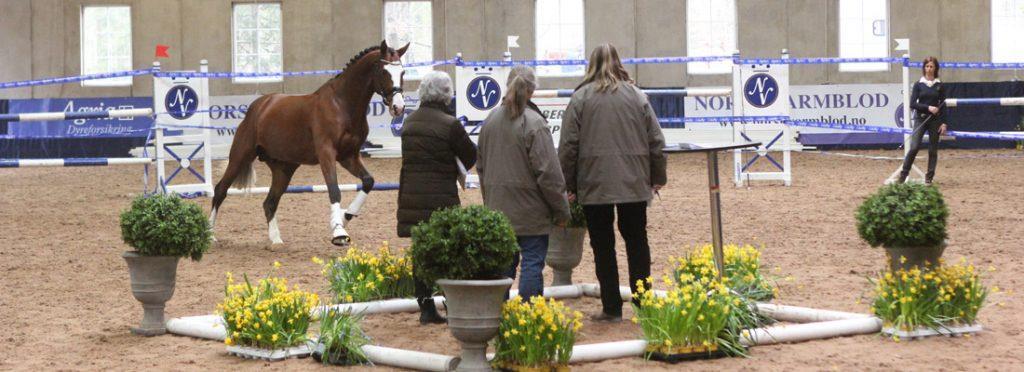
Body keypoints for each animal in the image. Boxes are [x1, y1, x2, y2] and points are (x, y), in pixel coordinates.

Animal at [207, 40, 407, 245]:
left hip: (284, 168)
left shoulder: (349, 157)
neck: (342, 105)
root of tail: (261, 105)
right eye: (384, 71)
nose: (398, 107)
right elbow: (334, 190)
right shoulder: (326, 154)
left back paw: (276, 240)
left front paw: (345, 217)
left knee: (270, 202)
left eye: (402, 72)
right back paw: (210, 234)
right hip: (240, 156)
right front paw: (338, 232)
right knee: (220, 190)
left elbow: (368, 181)